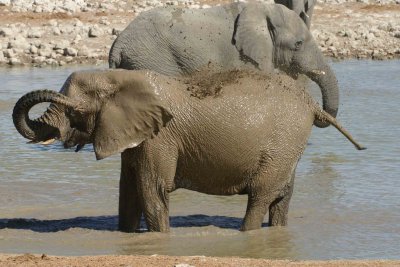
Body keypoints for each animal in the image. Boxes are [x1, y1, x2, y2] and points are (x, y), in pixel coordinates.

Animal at [12, 70, 364, 233]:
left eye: (75, 110)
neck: (122, 78)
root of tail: (312, 104)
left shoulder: (160, 138)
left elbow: (152, 190)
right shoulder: (138, 136)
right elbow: (128, 192)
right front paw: (126, 235)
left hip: (283, 142)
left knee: (260, 197)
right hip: (289, 146)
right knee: (281, 199)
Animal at [107, 1, 338, 128]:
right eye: (298, 44)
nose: (318, 116)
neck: (261, 10)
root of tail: (118, 44)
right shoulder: (242, 57)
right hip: (151, 61)